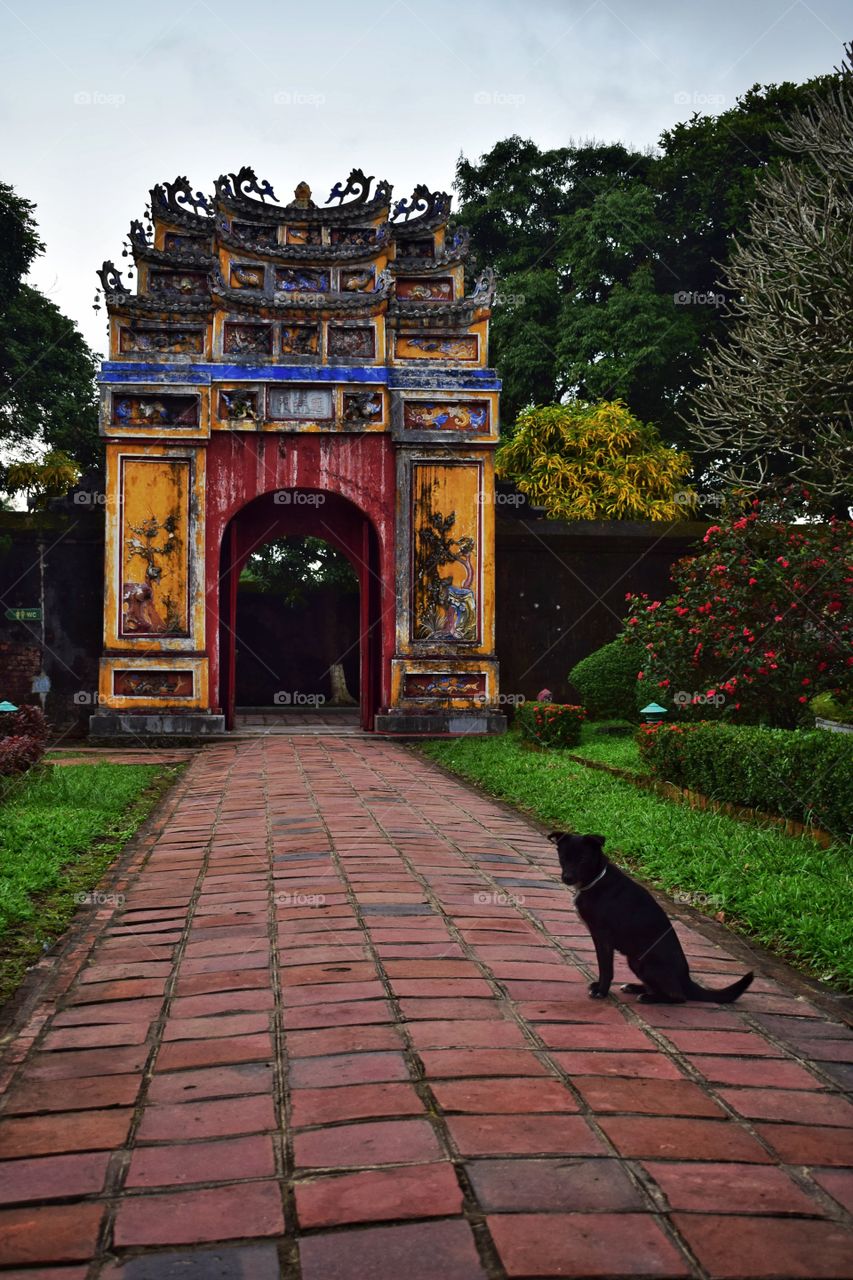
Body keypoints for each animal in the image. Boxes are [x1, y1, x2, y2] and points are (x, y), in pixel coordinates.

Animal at [545, 834, 753, 1003]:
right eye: (563, 858)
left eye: (583, 859)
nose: (567, 878)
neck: (596, 879)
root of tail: (686, 979)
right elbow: (603, 967)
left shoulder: (603, 938)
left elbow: (606, 968)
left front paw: (601, 991)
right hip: (634, 961)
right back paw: (635, 988)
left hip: (643, 962)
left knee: (679, 997)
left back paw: (648, 997)